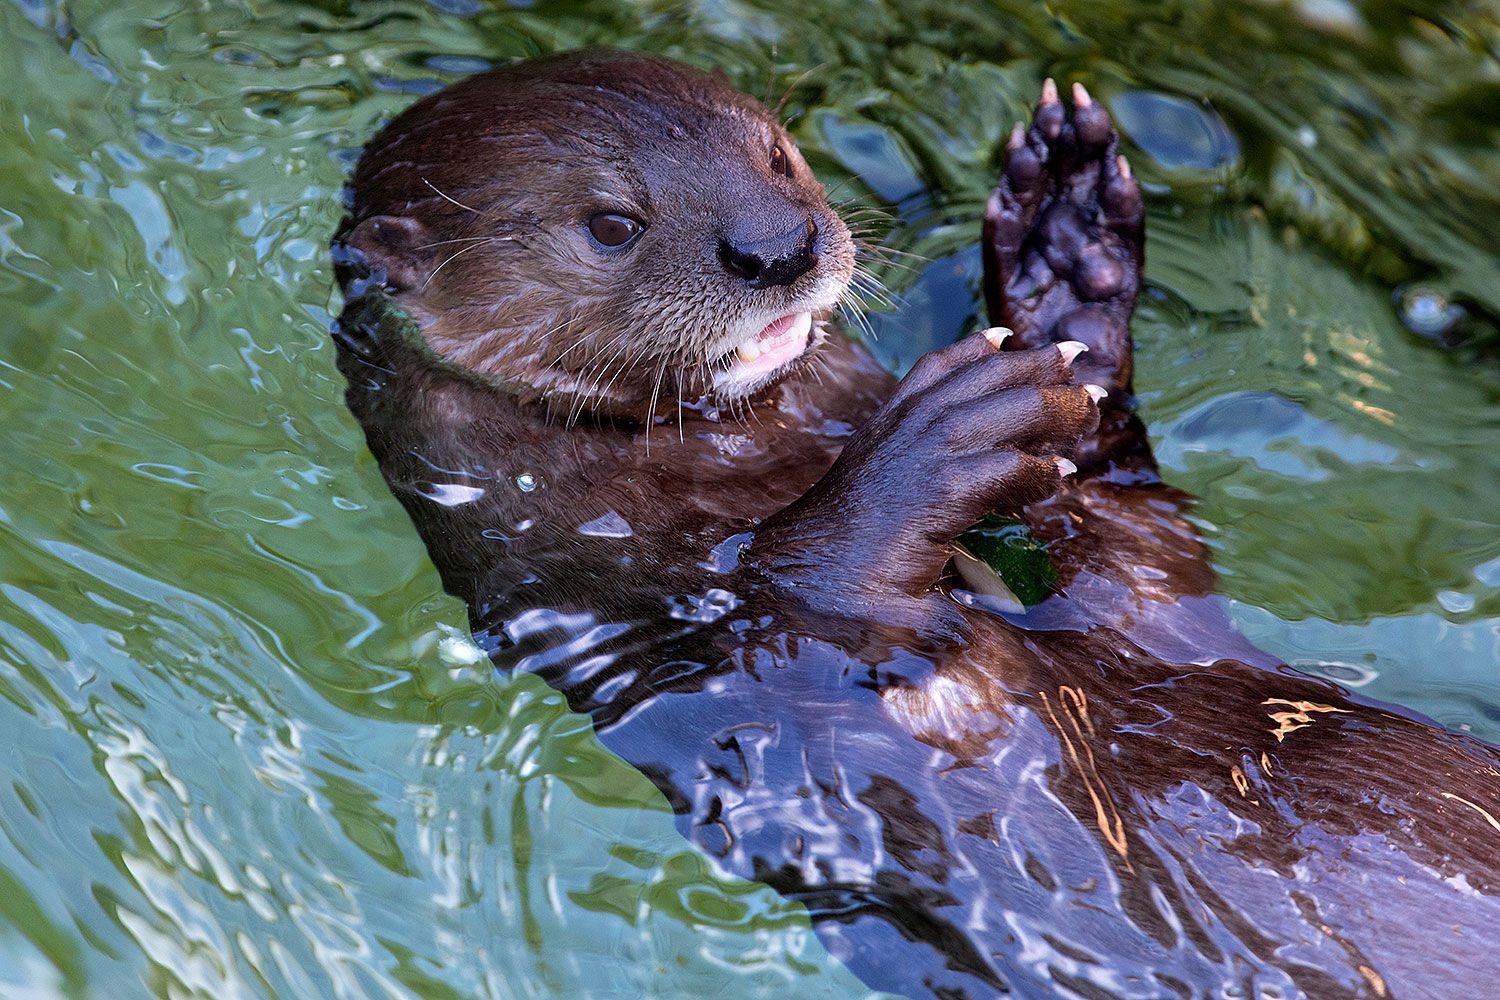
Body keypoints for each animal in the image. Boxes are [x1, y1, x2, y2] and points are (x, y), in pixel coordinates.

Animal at [331, 50, 1500, 1000]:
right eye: (612, 224)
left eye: (778, 154)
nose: (779, 246)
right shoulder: (676, 648)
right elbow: (823, 621)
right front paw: (933, 442)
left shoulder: (1144, 604)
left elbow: (1133, 540)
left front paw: (1065, 259)